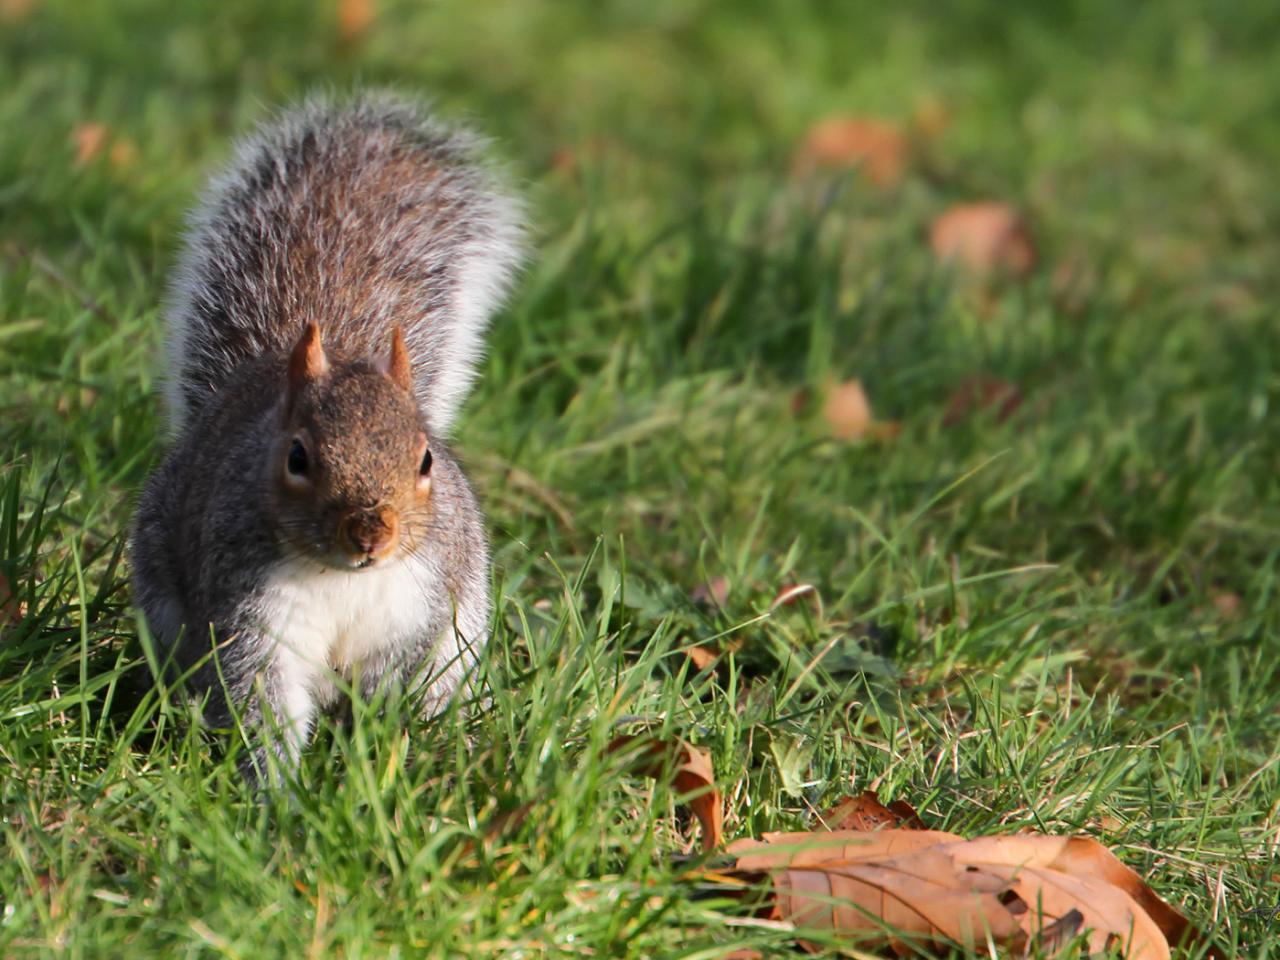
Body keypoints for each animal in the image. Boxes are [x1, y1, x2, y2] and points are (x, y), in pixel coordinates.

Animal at [129, 90, 524, 783]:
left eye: (426, 459)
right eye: (297, 456)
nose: (371, 533)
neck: (343, 578)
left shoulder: (417, 608)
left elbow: (393, 686)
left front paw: (377, 760)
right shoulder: (252, 618)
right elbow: (263, 701)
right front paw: (276, 793)